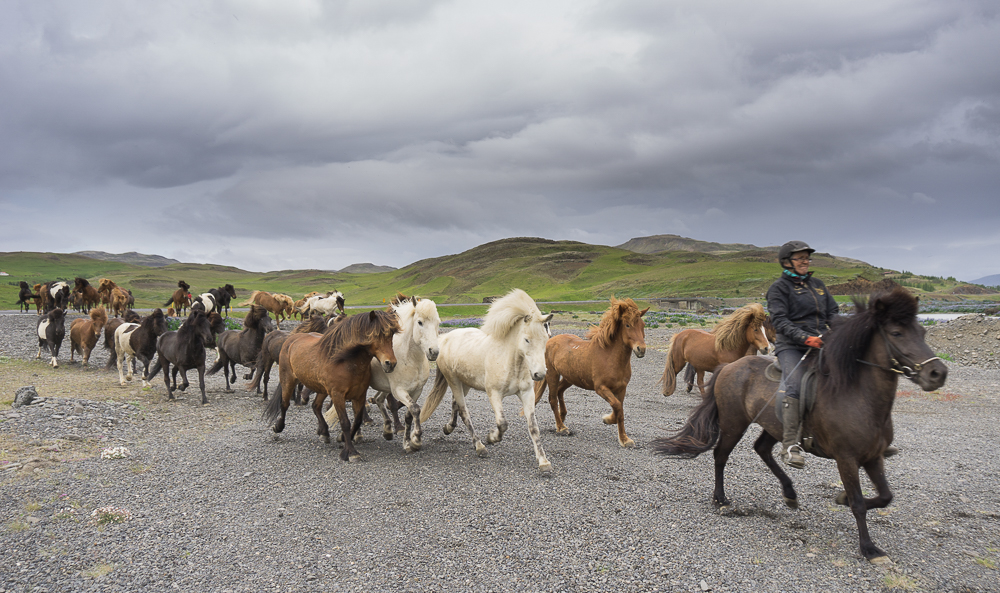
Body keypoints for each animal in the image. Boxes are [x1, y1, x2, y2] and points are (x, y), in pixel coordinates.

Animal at [264, 310, 400, 462]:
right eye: (377, 335)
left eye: (391, 335)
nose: (390, 363)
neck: (346, 361)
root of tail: (291, 340)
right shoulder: (337, 395)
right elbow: (345, 422)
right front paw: (351, 452)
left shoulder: (359, 395)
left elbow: (357, 420)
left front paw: (344, 439)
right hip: (288, 380)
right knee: (284, 404)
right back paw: (278, 427)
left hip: (322, 390)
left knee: (315, 406)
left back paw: (324, 432)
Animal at [324, 296, 442, 454]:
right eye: (420, 322)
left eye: (438, 322)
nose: (433, 352)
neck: (410, 359)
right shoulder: (399, 391)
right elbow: (415, 409)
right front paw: (416, 440)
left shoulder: (417, 391)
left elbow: (410, 414)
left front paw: (407, 443)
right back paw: (357, 435)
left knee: (378, 400)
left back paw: (387, 430)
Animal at [416, 288, 556, 472]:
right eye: (527, 339)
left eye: (546, 338)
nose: (539, 374)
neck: (511, 361)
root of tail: (443, 339)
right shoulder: (494, 394)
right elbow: (503, 423)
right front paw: (491, 438)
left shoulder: (526, 393)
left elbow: (533, 427)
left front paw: (544, 462)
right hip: (454, 382)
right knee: (463, 411)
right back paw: (479, 447)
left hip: (465, 384)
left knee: (455, 404)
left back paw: (448, 428)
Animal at [532, 294, 648, 444]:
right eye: (627, 325)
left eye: (643, 325)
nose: (641, 349)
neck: (609, 357)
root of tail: (550, 341)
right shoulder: (601, 388)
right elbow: (617, 407)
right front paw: (617, 431)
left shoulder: (621, 389)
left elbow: (619, 409)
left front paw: (621, 435)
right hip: (552, 375)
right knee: (552, 399)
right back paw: (561, 427)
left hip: (570, 377)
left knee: (559, 391)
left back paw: (562, 419)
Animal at [652, 288, 948, 564]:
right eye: (896, 333)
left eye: (922, 331)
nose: (938, 373)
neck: (858, 396)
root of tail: (729, 367)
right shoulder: (847, 459)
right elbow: (859, 503)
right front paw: (869, 548)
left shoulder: (873, 457)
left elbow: (885, 496)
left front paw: (841, 500)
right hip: (734, 424)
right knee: (720, 455)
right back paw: (721, 499)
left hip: (773, 426)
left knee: (762, 449)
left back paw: (789, 493)